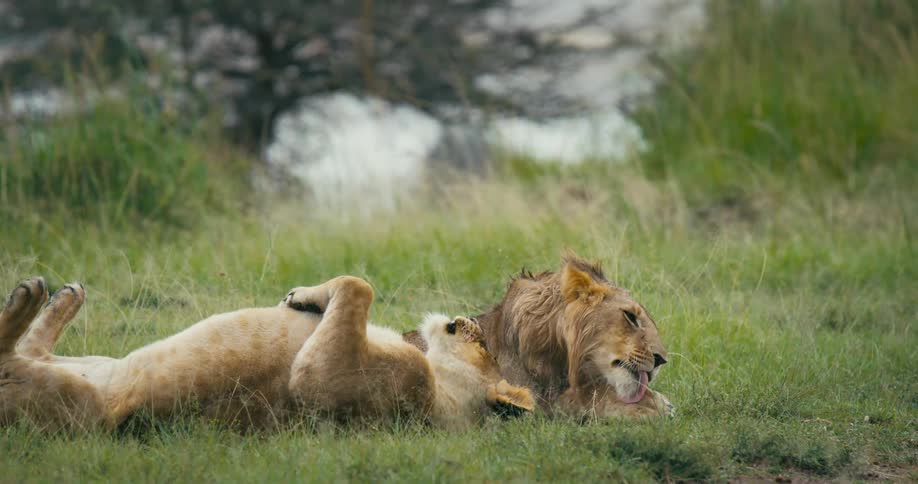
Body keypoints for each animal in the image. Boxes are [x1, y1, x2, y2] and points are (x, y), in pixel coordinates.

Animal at [0, 276, 532, 431]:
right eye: (484, 343)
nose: (466, 319)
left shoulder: (324, 380)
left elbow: (359, 284)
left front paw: (303, 297)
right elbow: (355, 286)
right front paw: (304, 299)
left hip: (74, 401)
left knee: (11, 356)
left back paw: (29, 294)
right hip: (87, 365)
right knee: (34, 346)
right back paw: (63, 296)